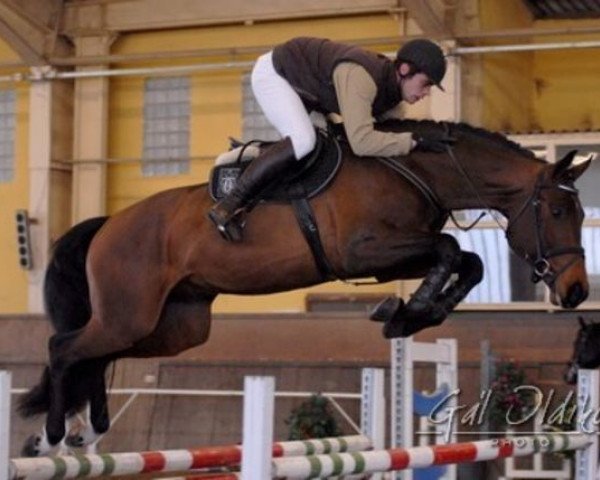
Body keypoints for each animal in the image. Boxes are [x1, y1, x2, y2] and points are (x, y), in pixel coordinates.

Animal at [19, 118, 592, 456]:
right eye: (558, 212)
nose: (577, 292)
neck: (414, 168)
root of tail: (109, 223)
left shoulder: (397, 250)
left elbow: (467, 261)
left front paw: (412, 312)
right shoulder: (363, 250)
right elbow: (454, 250)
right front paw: (406, 312)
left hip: (173, 326)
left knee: (95, 354)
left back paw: (89, 432)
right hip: (130, 313)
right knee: (64, 347)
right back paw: (51, 438)